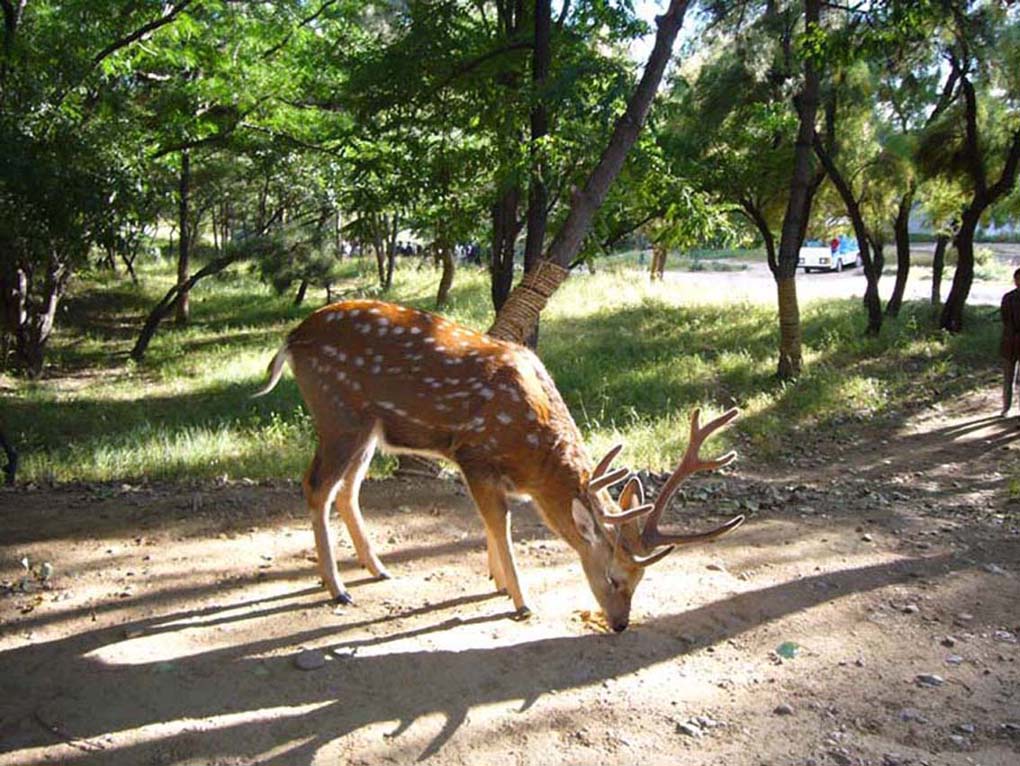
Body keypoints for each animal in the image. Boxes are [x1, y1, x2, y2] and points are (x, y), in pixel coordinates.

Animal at [255, 297, 742, 628]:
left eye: (642, 581)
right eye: (615, 578)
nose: (620, 624)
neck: (534, 457)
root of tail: (291, 339)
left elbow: (491, 524)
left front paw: (497, 581)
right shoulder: (473, 454)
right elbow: (499, 523)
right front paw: (520, 600)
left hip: (369, 429)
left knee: (347, 490)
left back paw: (376, 569)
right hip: (338, 413)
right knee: (316, 485)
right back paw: (337, 589)